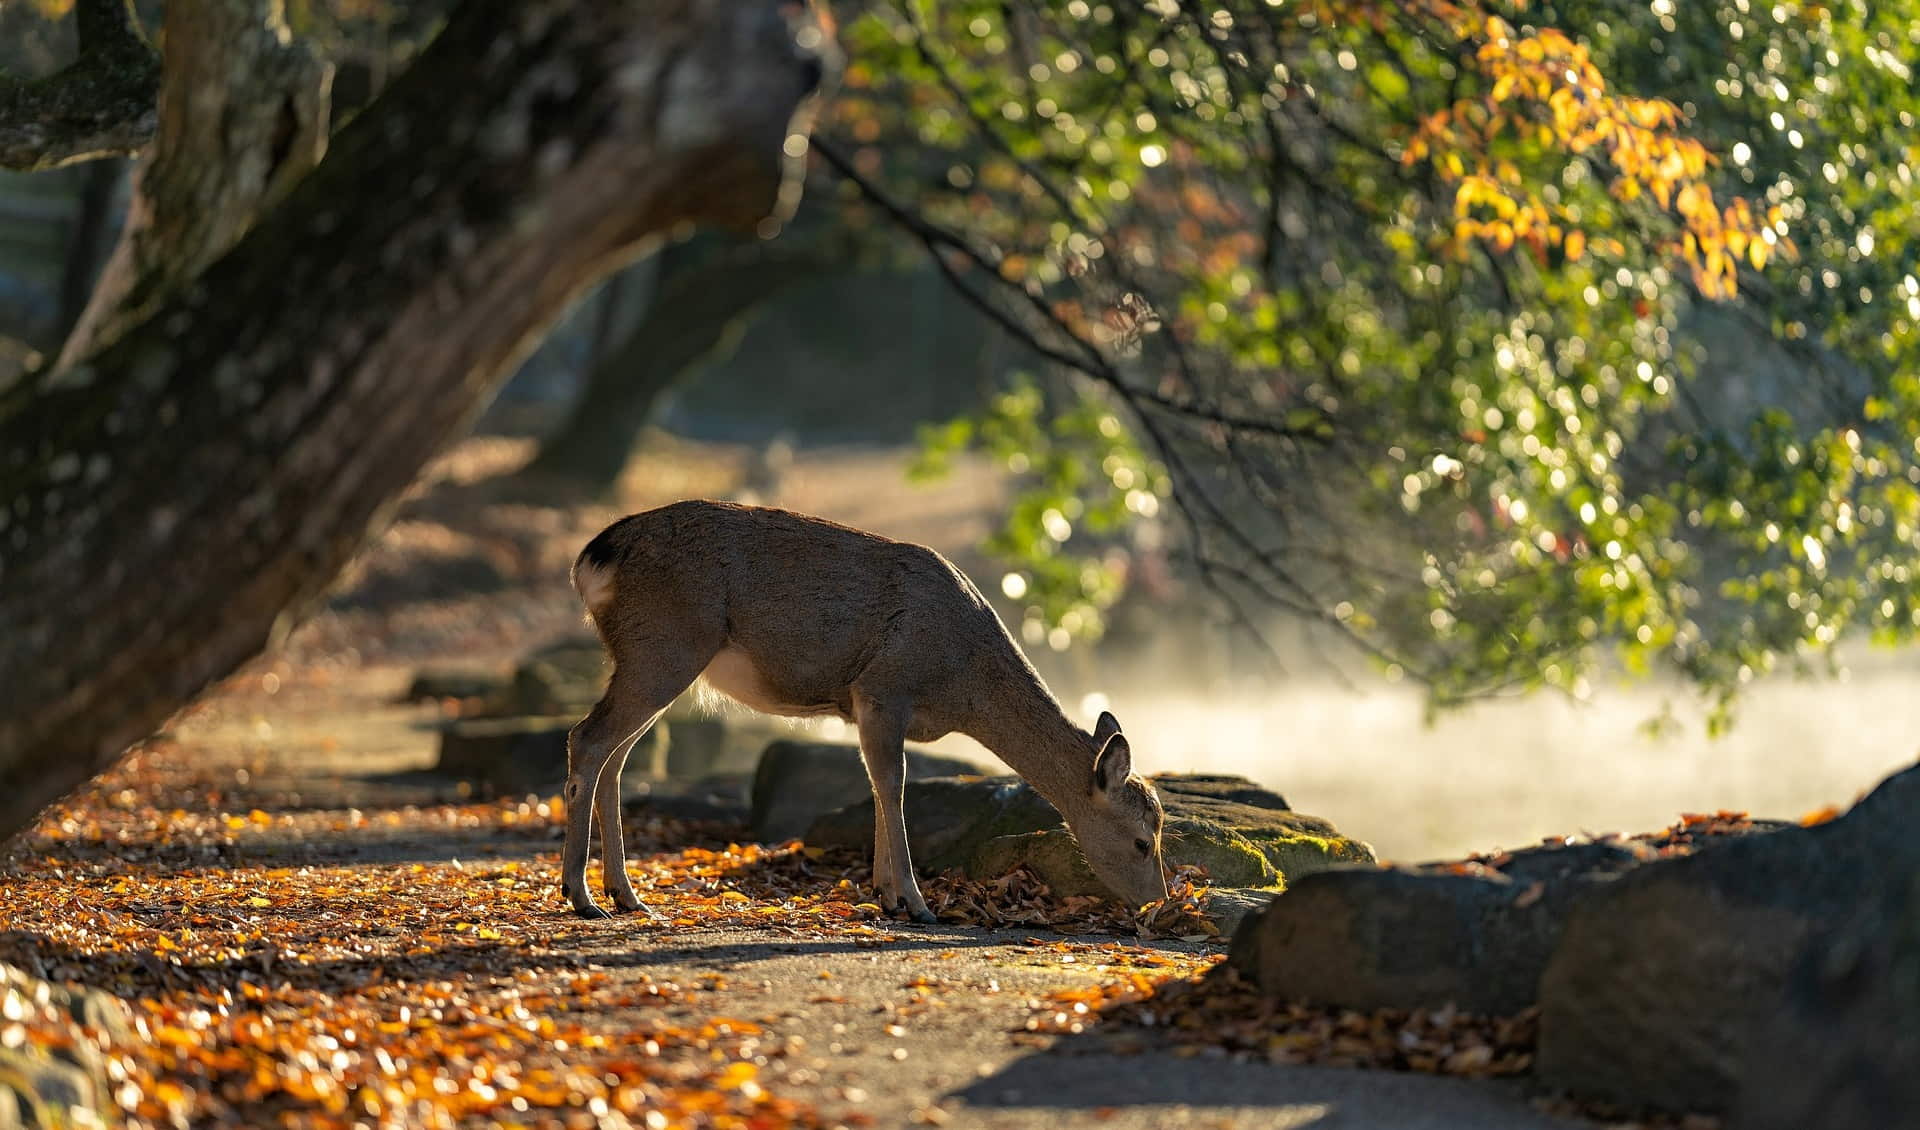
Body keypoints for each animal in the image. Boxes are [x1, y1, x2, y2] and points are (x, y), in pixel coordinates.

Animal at [560, 498, 1167, 917]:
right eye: (1143, 841)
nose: (1158, 899)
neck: (961, 684)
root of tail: (592, 558)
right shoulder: (883, 687)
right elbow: (893, 785)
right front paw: (917, 904)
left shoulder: (862, 705)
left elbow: (876, 784)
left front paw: (886, 895)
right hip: (665, 647)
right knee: (586, 739)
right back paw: (581, 895)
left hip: (648, 658)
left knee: (614, 754)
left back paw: (625, 895)